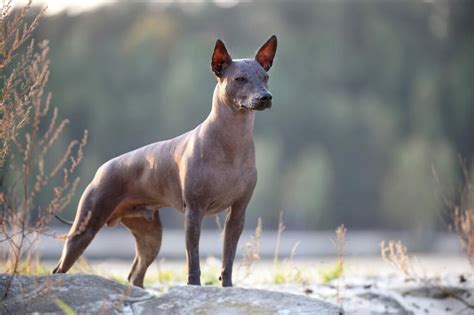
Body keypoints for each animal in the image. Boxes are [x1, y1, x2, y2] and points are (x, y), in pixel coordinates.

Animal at [52, 35, 278, 288]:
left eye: (265, 77)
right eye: (240, 79)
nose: (265, 97)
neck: (232, 141)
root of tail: (101, 169)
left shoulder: (237, 213)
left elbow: (228, 258)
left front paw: (227, 287)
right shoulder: (194, 212)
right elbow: (193, 258)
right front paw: (194, 286)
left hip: (150, 236)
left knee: (135, 274)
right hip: (86, 228)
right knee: (59, 269)